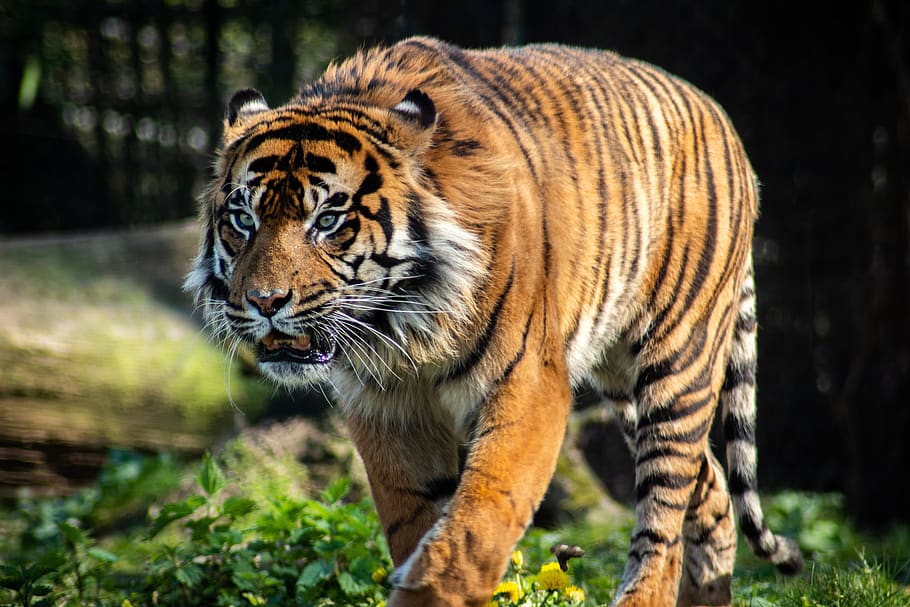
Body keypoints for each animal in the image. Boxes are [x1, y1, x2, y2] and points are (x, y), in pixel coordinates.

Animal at [185, 36, 803, 607]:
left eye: (328, 220)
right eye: (242, 219)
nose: (265, 301)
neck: (403, 325)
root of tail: (718, 116)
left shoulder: (529, 382)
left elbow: (474, 526)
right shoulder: (386, 408)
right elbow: (413, 522)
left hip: (678, 362)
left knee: (664, 515)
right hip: (625, 380)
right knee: (712, 490)